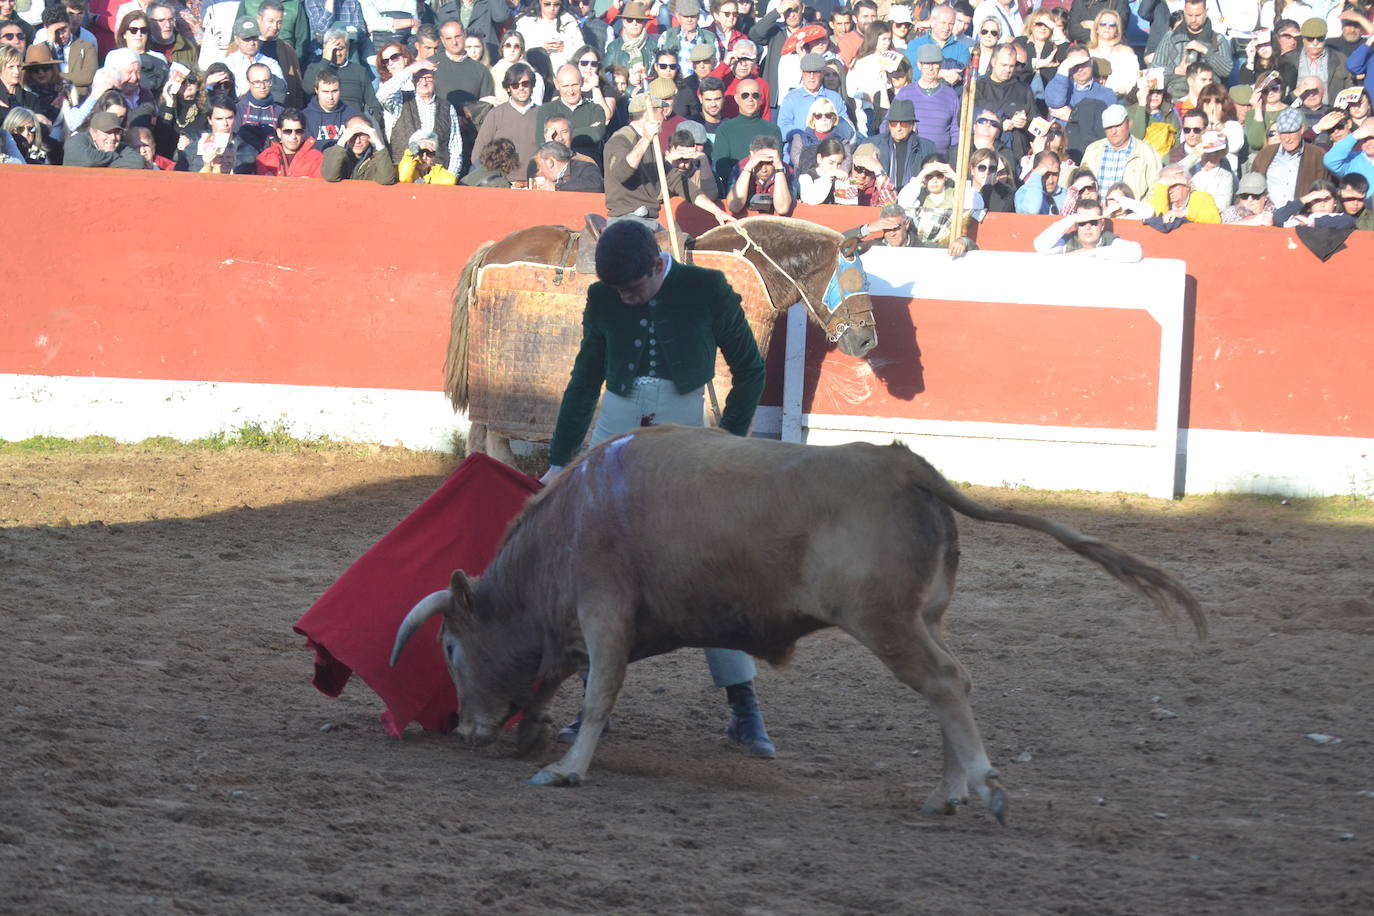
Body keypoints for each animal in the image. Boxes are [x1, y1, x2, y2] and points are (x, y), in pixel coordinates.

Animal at [390, 425, 1203, 823]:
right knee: (951, 686)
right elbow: (556, 680)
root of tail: (907, 467)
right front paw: (535, 733)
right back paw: (946, 792)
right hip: (921, 616)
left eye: (452, 646)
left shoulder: (604, 609)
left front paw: (565, 769)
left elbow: (598, 693)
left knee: (944, 683)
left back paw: (982, 786)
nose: (466, 728)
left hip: (885, 621)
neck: (565, 525)